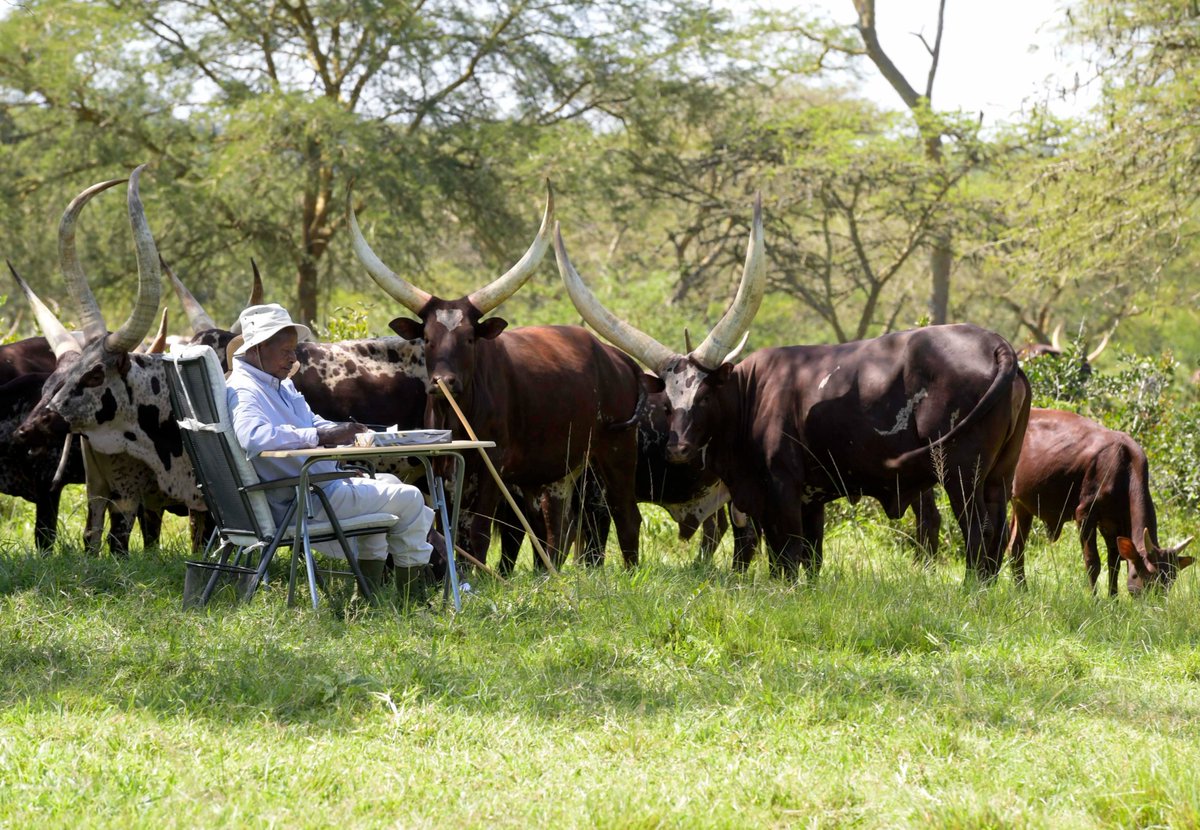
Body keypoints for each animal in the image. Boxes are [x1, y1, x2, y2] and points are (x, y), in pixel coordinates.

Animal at [552, 194, 1032, 582]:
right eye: (667, 402)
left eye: (704, 396)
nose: (678, 449)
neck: (752, 396)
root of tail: (997, 345)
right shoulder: (810, 497)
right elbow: (811, 557)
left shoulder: (780, 488)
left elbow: (786, 556)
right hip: (999, 472)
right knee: (996, 528)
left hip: (960, 472)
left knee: (976, 529)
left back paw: (969, 589)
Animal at [1008, 407, 1195, 597]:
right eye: (1146, 575)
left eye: (1170, 580)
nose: (1156, 603)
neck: (1125, 469)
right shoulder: (1085, 514)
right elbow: (1093, 562)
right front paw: (1095, 599)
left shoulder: (1111, 523)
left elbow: (1114, 563)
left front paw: (1113, 598)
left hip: (1021, 505)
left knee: (1015, 547)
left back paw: (1022, 591)